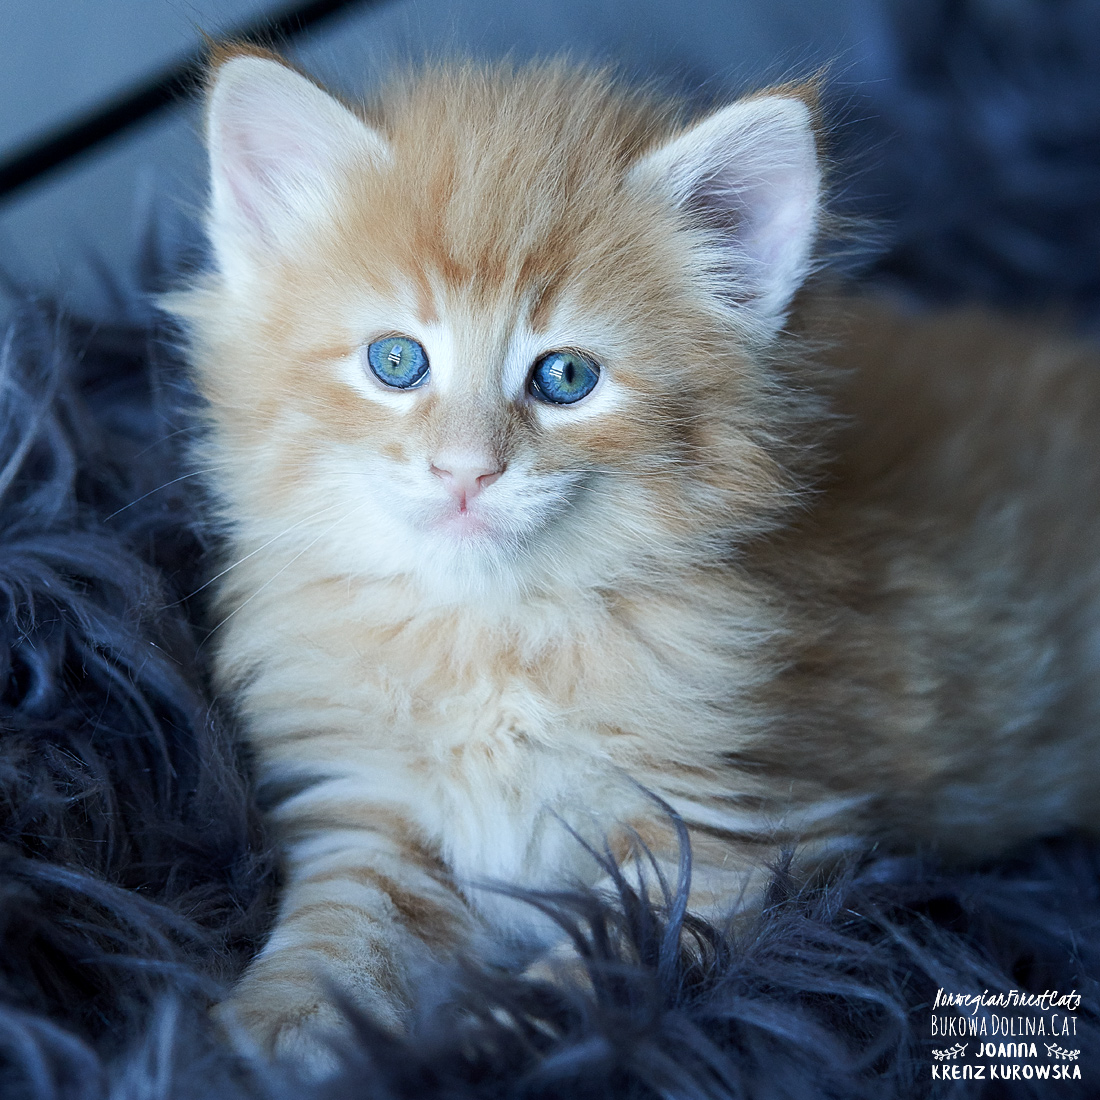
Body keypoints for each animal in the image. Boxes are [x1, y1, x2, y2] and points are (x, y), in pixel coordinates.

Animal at [167, 47, 1100, 1065]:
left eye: (565, 377)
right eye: (396, 362)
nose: (466, 470)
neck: (495, 633)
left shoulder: (734, 845)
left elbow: (598, 974)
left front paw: (481, 1040)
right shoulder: (371, 818)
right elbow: (336, 941)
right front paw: (249, 1042)